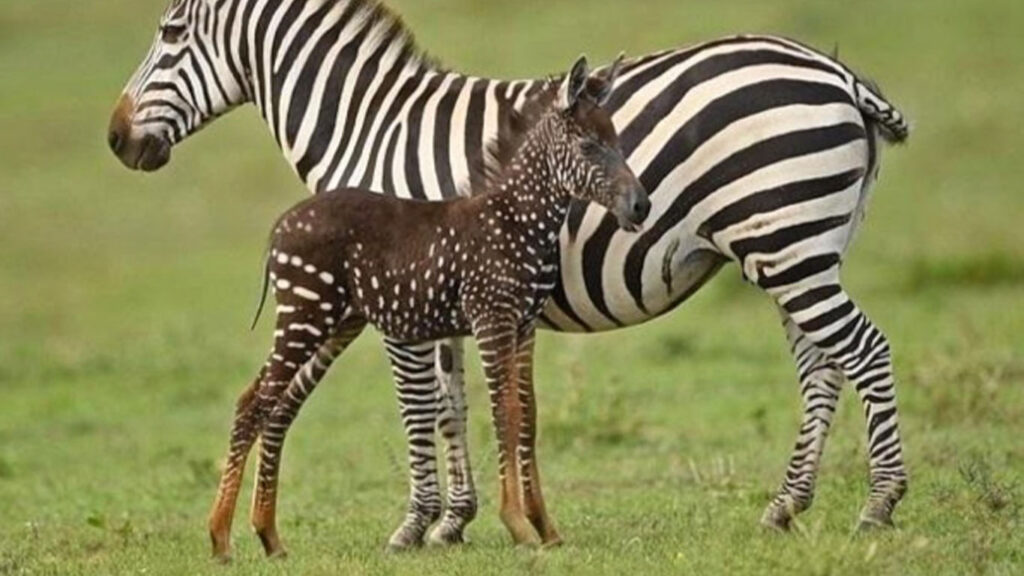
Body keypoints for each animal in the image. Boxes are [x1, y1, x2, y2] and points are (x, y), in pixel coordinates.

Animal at [108, 0, 911, 550]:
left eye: (169, 33)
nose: (116, 140)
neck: (371, 130)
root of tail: (837, 71)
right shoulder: (438, 294)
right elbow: (455, 406)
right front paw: (455, 522)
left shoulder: (399, 303)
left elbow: (419, 409)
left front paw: (415, 525)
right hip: (795, 246)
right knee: (821, 365)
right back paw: (786, 505)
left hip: (784, 239)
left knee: (864, 352)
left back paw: (879, 503)